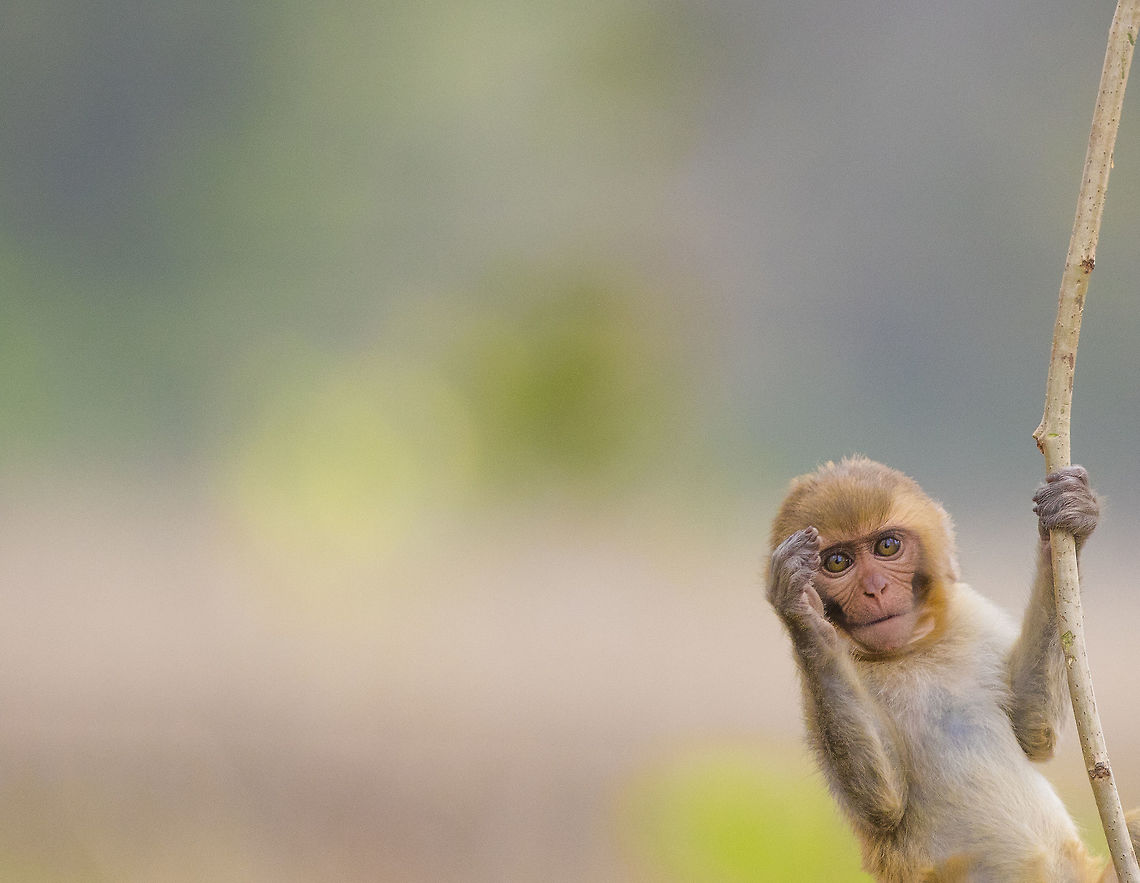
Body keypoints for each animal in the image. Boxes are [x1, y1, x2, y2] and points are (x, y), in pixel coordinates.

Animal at [766, 456, 1140, 882]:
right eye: (838, 562)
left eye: (887, 546)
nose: (875, 589)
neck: (907, 652)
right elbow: (883, 804)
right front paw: (801, 611)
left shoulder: (970, 613)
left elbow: (1034, 729)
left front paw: (1068, 518)